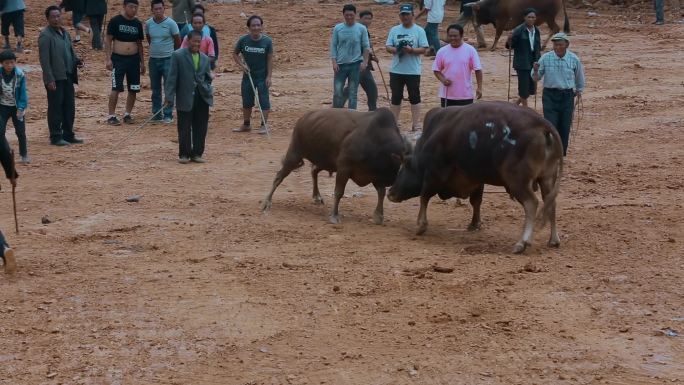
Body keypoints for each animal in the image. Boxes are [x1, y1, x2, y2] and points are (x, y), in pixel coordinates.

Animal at [260, 106, 408, 224]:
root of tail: (304, 117)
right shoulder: (344, 168)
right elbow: (338, 192)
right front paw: (334, 215)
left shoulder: (376, 175)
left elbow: (381, 193)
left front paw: (378, 216)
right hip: (294, 154)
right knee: (279, 176)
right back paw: (266, 202)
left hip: (324, 161)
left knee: (314, 170)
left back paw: (317, 196)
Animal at [388, 100, 564, 254]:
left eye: (405, 165)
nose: (390, 192)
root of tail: (542, 124)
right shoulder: (477, 178)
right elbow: (476, 201)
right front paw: (474, 224)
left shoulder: (433, 174)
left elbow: (424, 197)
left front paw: (421, 225)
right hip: (547, 179)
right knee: (551, 204)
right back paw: (553, 239)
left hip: (517, 182)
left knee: (532, 203)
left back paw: (522, 242)